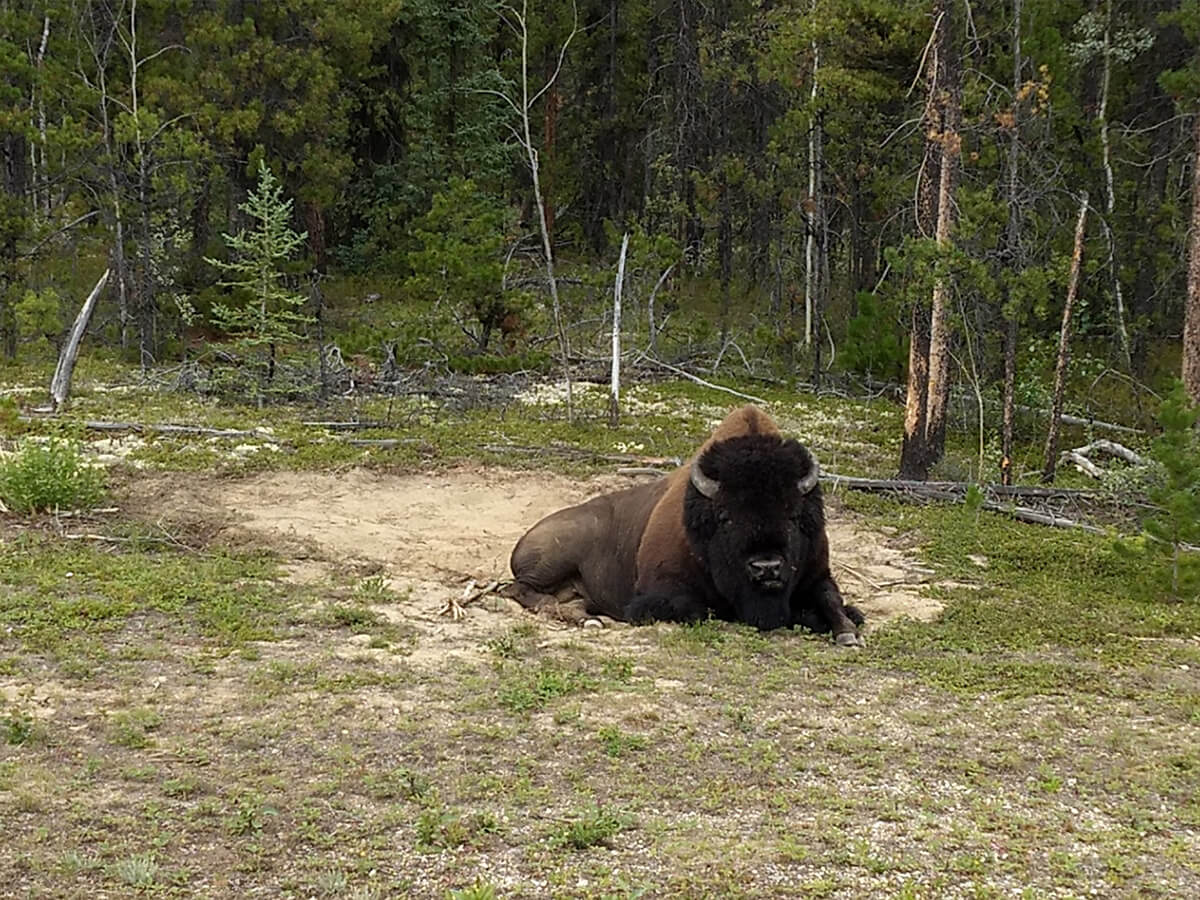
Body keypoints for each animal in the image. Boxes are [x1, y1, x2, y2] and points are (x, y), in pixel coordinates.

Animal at [505, 405, 864, 645]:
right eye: (725, 517)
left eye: (793, 515)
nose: (766, 567)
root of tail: (526, 536)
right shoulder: (659, 592)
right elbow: (699, 609)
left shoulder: (818, 573)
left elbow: (832, 600)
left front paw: (848, 631)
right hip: (554, 559)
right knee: (519, 589)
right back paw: (579, 617)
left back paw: (587, 617)